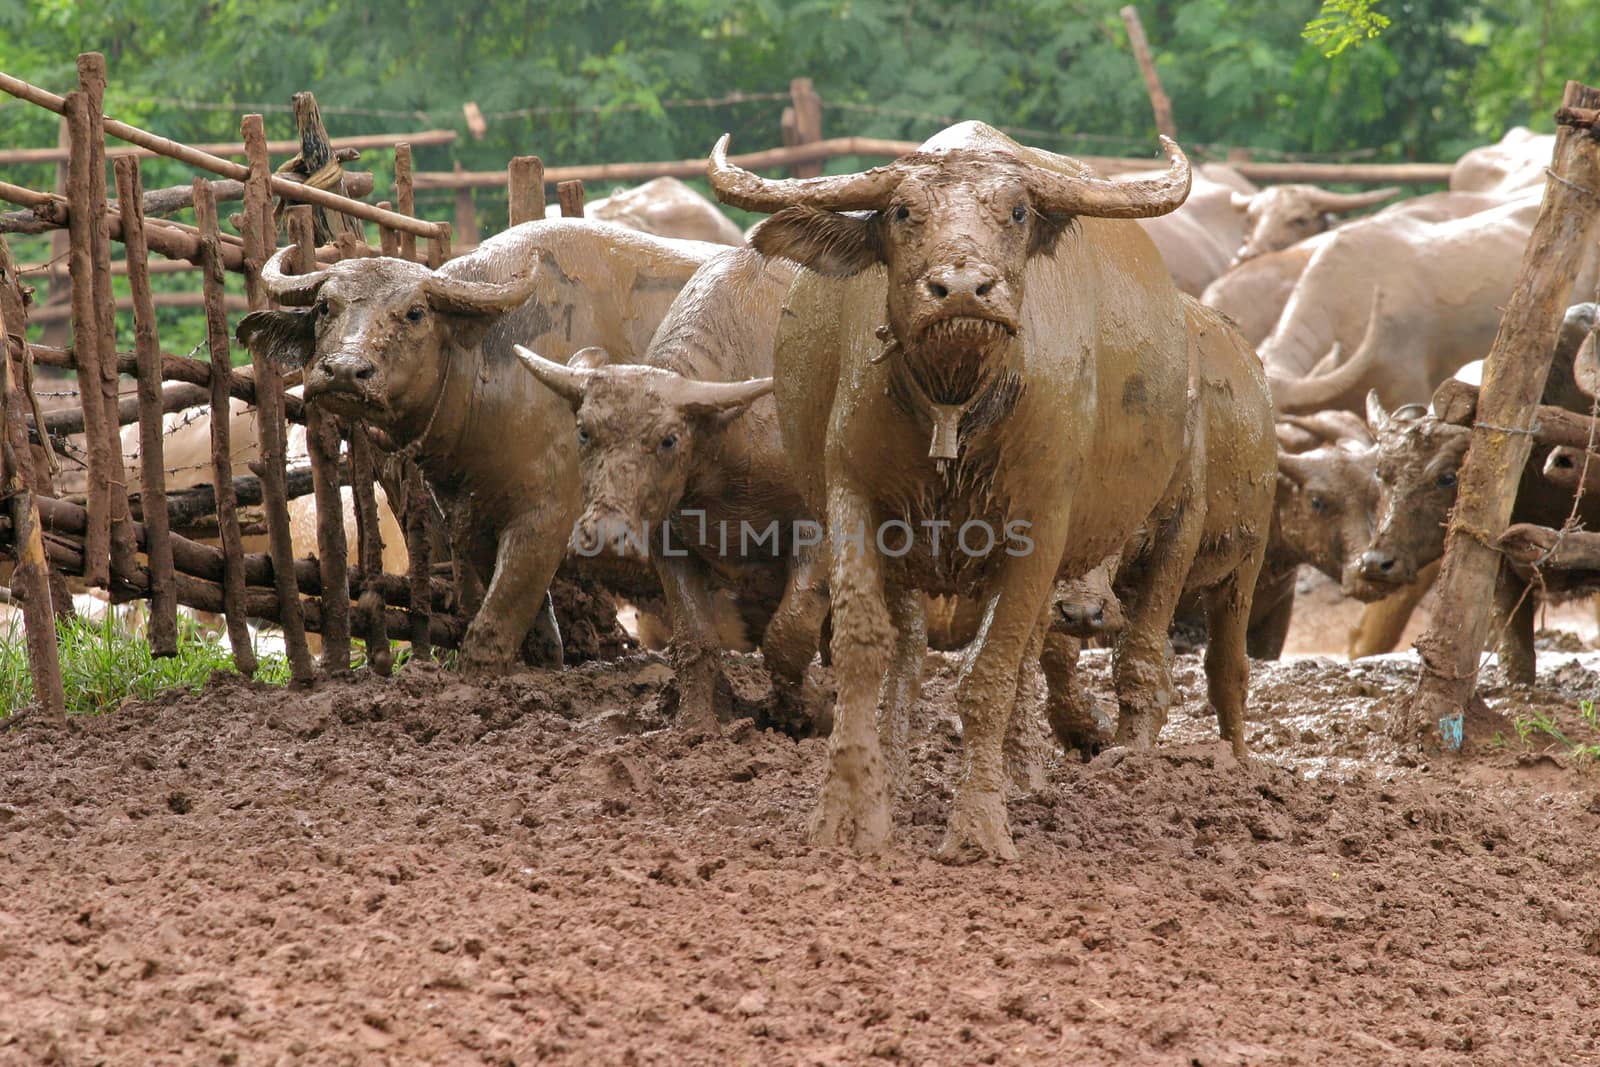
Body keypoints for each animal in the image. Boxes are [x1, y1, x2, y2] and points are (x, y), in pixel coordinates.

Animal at [235, 220, 720, 681]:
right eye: (324, 307)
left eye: (415, 312)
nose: (344, 372)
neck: (495, 362)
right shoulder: (473, 519)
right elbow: (533, 625)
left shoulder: (547, 517)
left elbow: (498, 616)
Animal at [512, 249, 825, 735]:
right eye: (583, 431)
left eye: (668, 439)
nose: (606, 539)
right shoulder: (669, 541)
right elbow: (696, 638)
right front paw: (695, 726)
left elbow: (788, 633)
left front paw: (808, 710)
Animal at [713, 120, 1273, 863]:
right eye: (902, 212)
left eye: (1017, 212)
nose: (962, 289)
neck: (957, 405)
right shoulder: (852, 499)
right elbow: (865, 647)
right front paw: (850, 811)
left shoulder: (1041, 529)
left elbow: (991, 672)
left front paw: (978, 824)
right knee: (910, 654)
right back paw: (911, 768)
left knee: (1117, 656)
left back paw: (1076, 771)